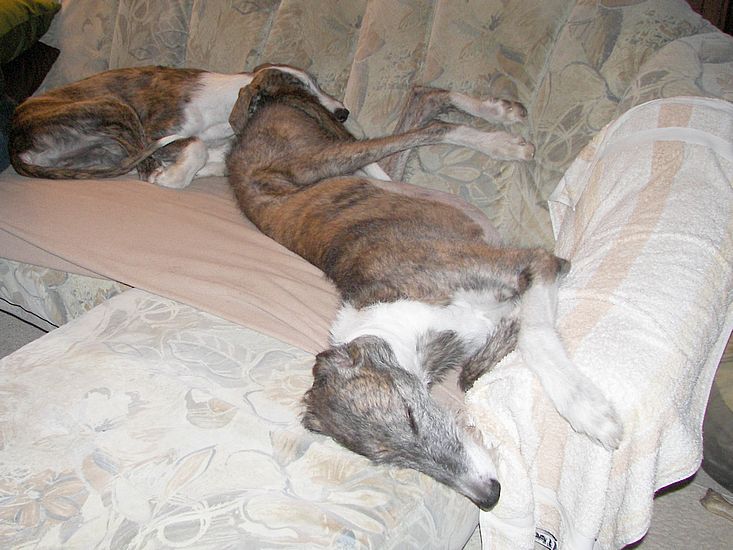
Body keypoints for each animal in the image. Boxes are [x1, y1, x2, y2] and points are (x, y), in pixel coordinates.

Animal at [8, 64, 351, 188]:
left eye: (317, 83)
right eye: (302, 93)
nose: (344, 112)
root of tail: (15, 141)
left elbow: (214, 156)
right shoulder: (159, 132)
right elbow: (196, 147)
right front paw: (174, 176)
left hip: (99, 153)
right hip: (116, 108)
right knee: (141, 162)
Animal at [225, 69, 623, 510]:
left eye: (410, 415)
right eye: (390, 459)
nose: (489, 497)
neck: (402, 318)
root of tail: (257, 99)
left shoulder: (532, 262)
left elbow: (533, 335)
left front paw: (589, 412)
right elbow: (474, 371)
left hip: (326, 153)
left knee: (428, 126)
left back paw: (502, 138)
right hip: (367, 167)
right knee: (424, 98)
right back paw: (497, 115)